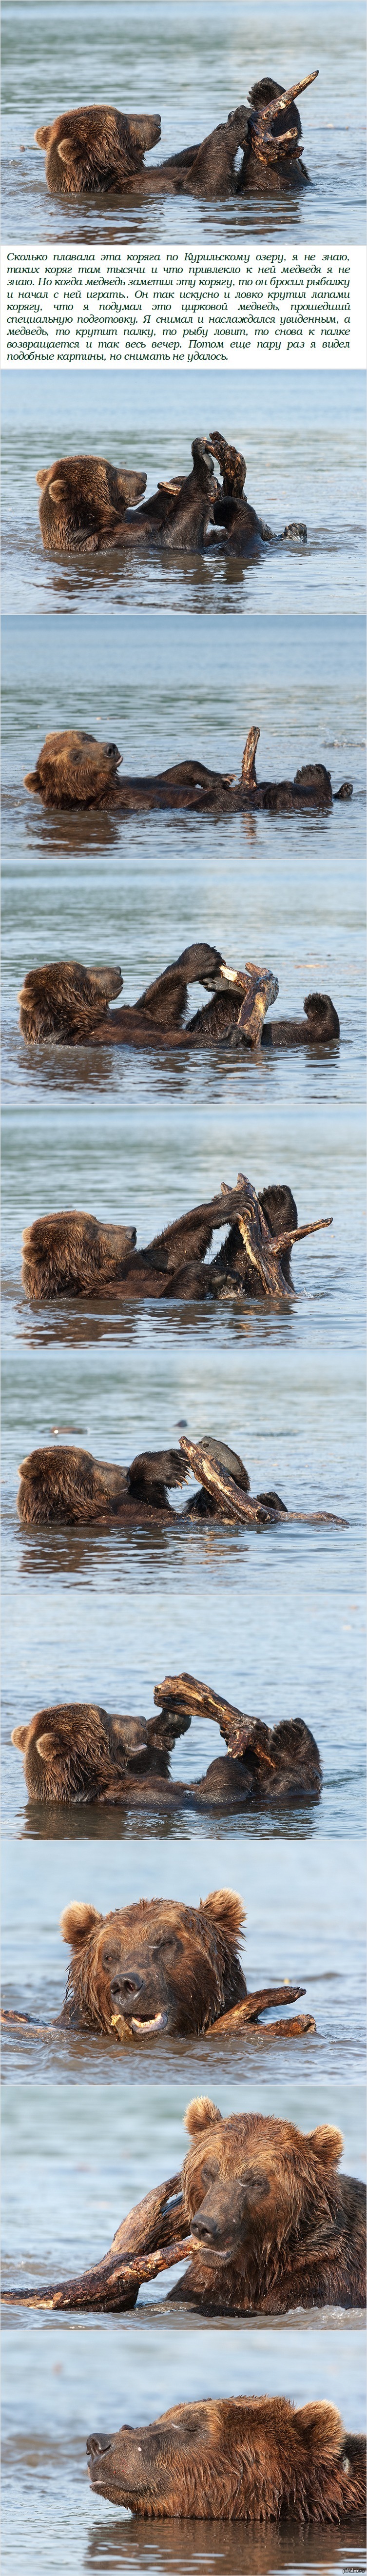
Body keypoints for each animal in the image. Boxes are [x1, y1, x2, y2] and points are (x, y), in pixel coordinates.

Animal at [16, 953, 339, 1051]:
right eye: (83, 970)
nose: (117, 970)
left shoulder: (124, 1016)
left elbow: (160, 1007)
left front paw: (201, 959)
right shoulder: (95, 1037)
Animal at [23, 721, 356, 809]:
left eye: (86, 736)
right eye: (75, 756)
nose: (110, 748)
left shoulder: (133, 779)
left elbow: (178, 771)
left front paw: (222, 778)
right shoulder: (114, 803)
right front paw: (222, 788)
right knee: (278, 796)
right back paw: (312, 777)